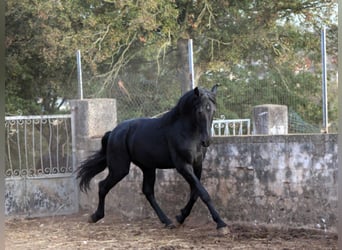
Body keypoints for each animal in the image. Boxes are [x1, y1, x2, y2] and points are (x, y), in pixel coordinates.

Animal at [76, 85, 228, 231]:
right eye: (200, 111)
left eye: (213, 111)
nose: (206, 141)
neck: (185, 132)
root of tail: (113, 132)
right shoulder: (183, 166)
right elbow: (203, 193)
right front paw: (221, 224)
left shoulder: (197, 165)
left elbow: (195, 193)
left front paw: (180, 217)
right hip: (120, 169)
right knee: (103, 186)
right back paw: (95, 216)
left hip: (147, 168)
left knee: (148, 192)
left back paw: (167, 221)